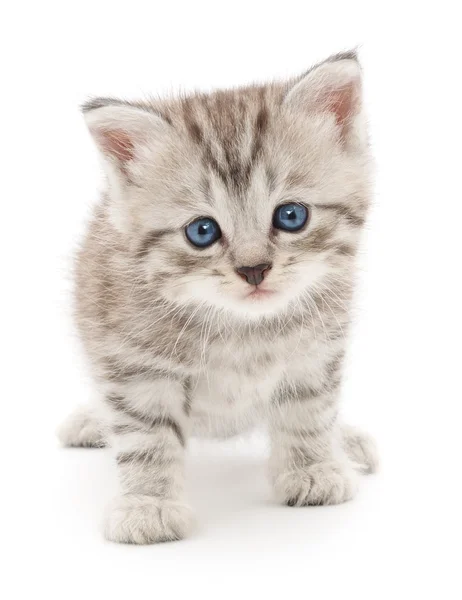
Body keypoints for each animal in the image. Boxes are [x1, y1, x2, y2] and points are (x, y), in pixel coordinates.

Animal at [57, 51, 378, 548]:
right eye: (202, 231)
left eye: (292, 215)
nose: (254, 269)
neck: (240, 326)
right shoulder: (134, 365)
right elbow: (146, 436)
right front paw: (148, 503)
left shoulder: (317, 349)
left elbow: (310, 409)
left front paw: (313, 467)